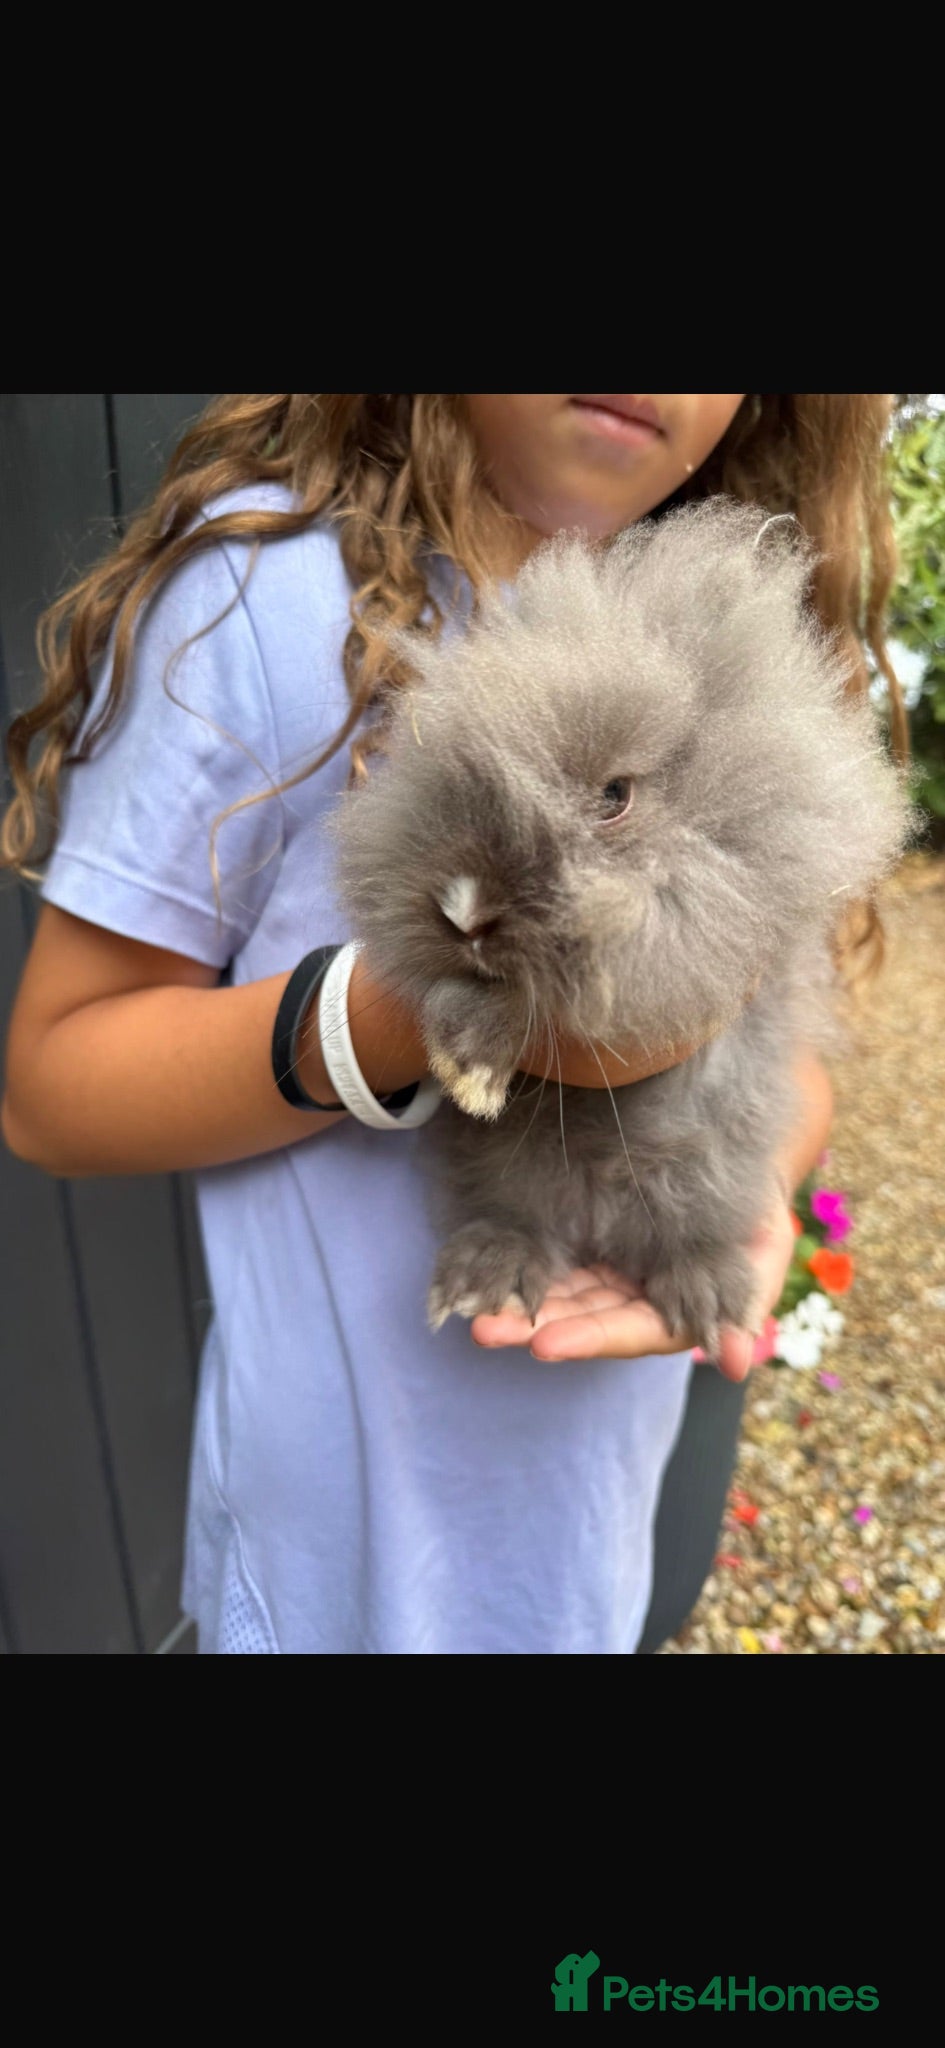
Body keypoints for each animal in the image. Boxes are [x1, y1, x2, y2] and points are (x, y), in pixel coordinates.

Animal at [328, 498, 915, 1357]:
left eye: (613, 797)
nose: (463, 908)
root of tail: (596, 1221)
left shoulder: (689, 934)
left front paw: (474, 1055)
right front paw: (466, 1061)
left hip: (711, 1169)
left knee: (689, 1231)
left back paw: (704, 1294)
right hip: (511, 1175)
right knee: (518, 1220)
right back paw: (488, 1276)